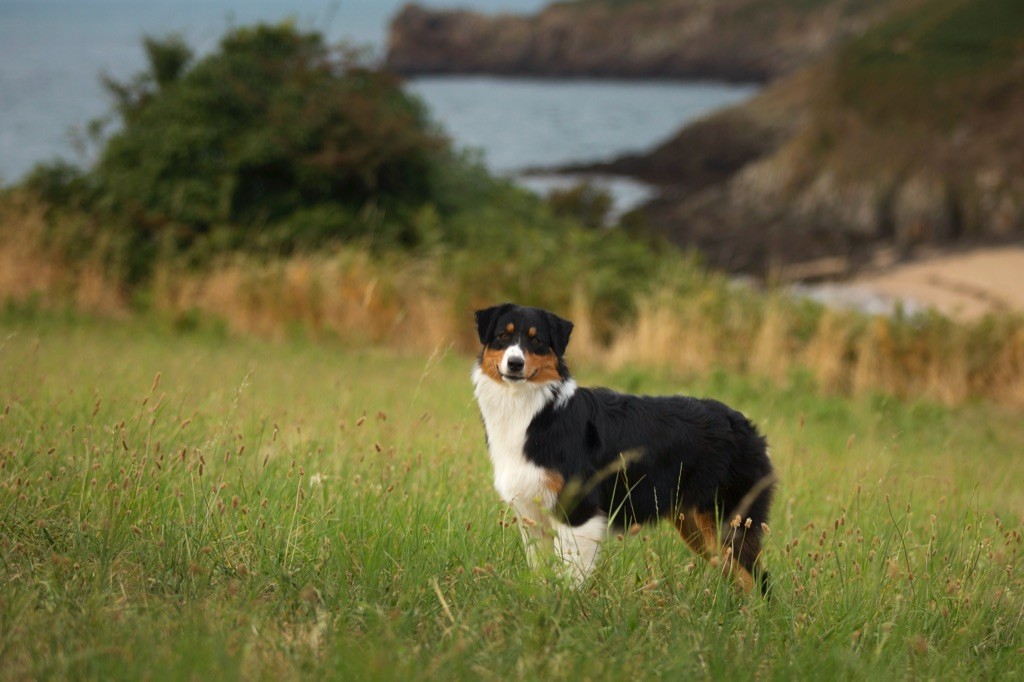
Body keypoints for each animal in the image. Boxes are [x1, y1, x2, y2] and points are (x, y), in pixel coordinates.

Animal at [471, 301, 774, 593]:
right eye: (503, 336)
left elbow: (570, 575)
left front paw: (565, 605)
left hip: (728, 522)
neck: (532, 410)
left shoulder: (579, 510)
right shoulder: (532, 516)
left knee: (757, 582)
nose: (515, 363)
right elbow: (542, 572)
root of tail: (748, 428)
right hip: (697, 527)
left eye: (536, 341)